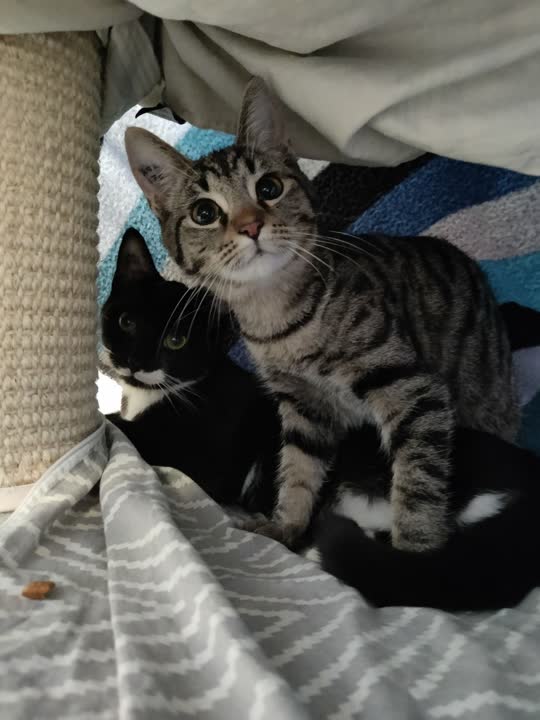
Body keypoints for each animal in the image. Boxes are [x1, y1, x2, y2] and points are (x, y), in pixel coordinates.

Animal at [124, 77, 519, 554]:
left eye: (268, 187)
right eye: (205, 212)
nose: (251, 226)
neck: (278, 319)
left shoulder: (413, 389)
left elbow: (418, 479)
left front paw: (414, 551)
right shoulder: (302, 408)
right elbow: (297, 472)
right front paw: (285, 528)